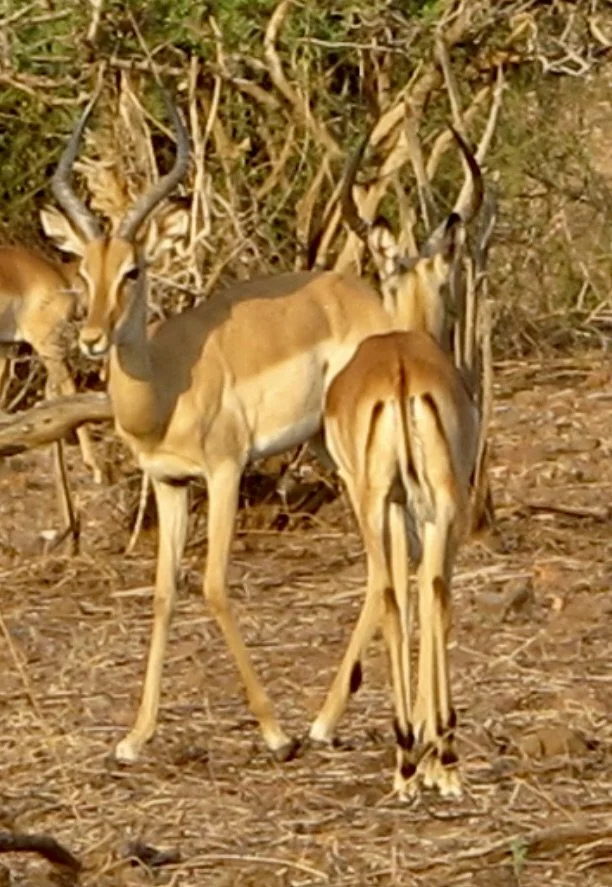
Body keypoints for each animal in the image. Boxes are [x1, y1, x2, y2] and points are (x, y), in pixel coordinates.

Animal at [43, 82, 482, 768]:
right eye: (84, 271)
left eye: (133, 271)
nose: (90, 339)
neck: (165, 383)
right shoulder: (169, 483)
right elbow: (164, 593)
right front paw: (134, 738)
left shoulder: (223, 473)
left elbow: (215, 585)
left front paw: (275, 734)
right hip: (338, 453)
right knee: (403, 561)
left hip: (349, 464)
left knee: (385, 566)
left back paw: (328, 726)